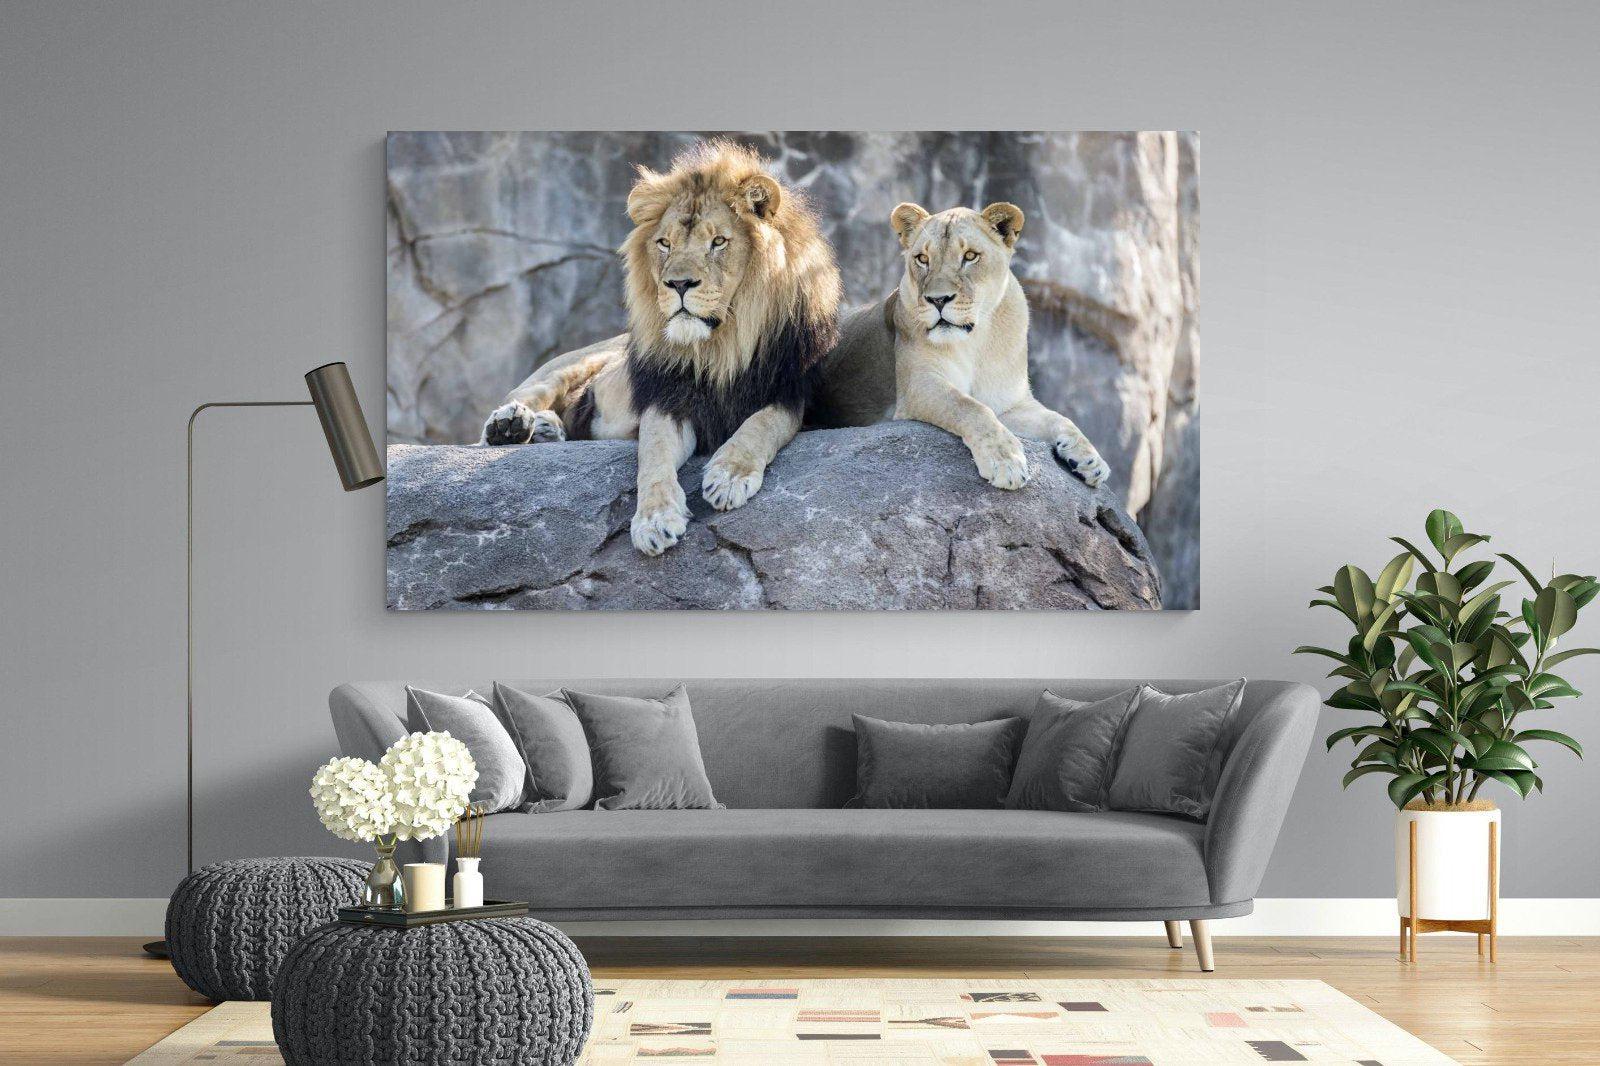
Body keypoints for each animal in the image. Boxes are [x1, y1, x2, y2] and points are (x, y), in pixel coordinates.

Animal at [481, 140, 841, 556]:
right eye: (664, 243)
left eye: (718, 241)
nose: (678, 284)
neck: (719, 348)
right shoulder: (667, 398)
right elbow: (652, 455)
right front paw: (654, 520)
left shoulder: (790, 393)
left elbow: (761, 425)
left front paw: (729, 476)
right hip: (570, 364)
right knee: (524, 395)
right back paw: (511, 425)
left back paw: (545, 429)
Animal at [816, 201, 1111, 491]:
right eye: (922, 259)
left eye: (970, 256)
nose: (938, 300)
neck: (976, 341)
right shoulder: (919, 385)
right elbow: (970, 407)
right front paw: (1006, 461)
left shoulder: (1010, 403)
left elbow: (1059, 418)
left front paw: (1090, 459)